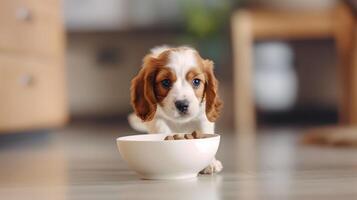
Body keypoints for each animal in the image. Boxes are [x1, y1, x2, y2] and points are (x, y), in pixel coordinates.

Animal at [128, 45, 222, 173]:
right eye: (166, 82)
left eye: (196, 81)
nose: (182, 105)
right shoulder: (157, 119)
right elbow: (162, 131)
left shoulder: (203, 116)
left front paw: (209, 163)